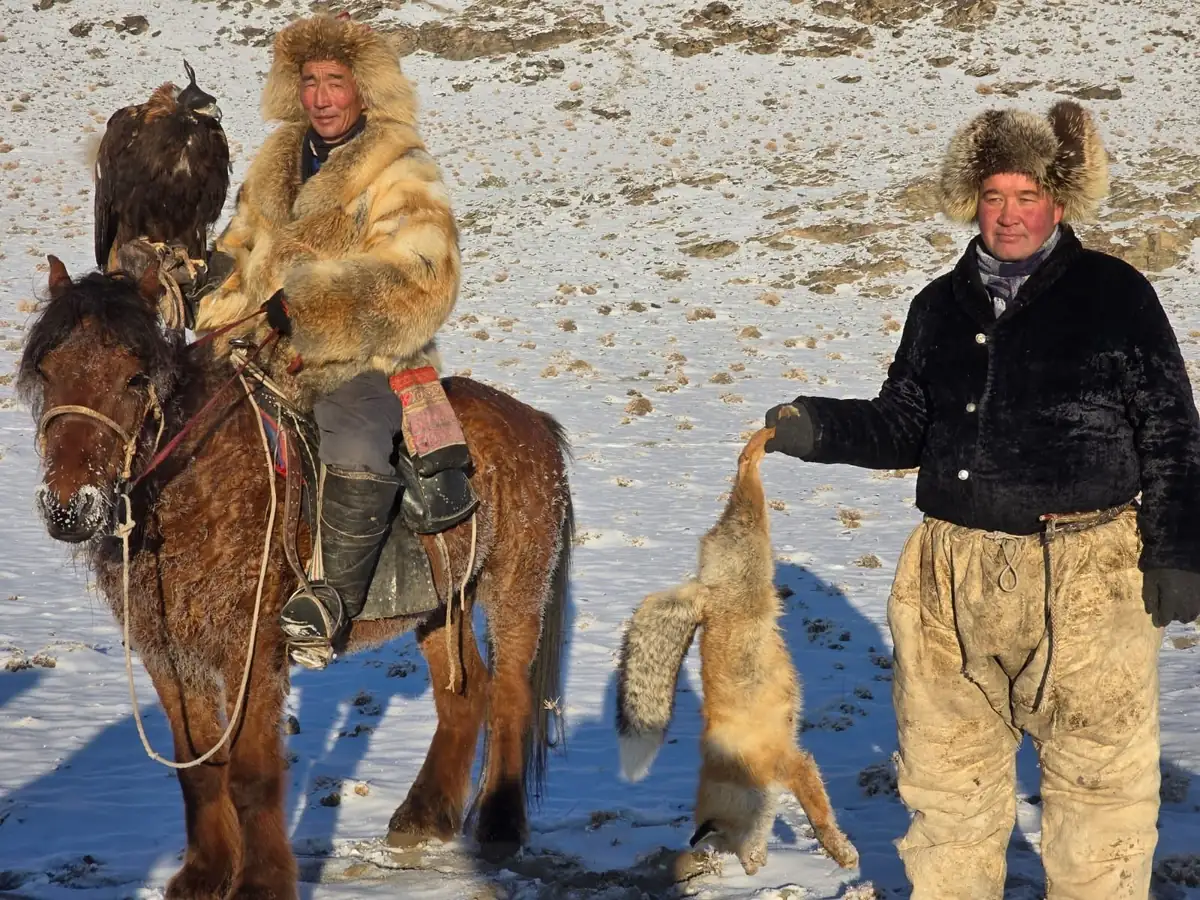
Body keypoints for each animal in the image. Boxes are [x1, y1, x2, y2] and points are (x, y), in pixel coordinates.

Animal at [615, 411, 859, 878]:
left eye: (729, 843)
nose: (751, 870)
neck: (735, 771)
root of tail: (704, 593)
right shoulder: (793, 763)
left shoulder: (791, 763)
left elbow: (819, 817)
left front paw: (839, 851)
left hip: (752, 531)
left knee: (744, 465)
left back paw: (770, 434)